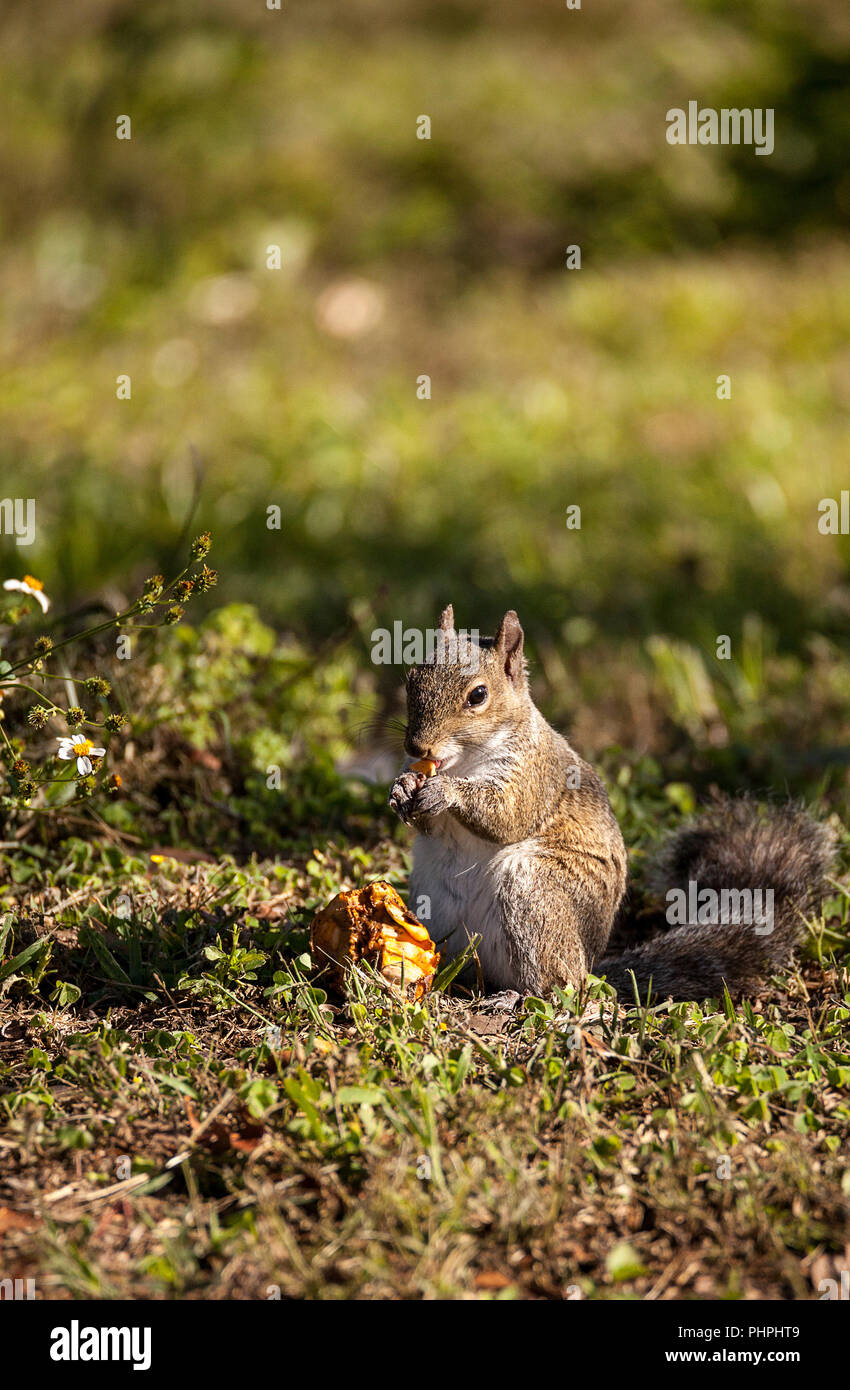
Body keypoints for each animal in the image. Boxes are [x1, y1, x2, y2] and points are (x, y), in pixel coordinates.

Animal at [388, 608, 838, 1000]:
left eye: (478, 695)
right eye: (410, 679)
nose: (417, 747)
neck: (463, 760)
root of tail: (591, 966)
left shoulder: (535, 773)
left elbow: (507, 815)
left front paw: (446, 793)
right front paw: (403, 788)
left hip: (534, 892)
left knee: (559, 984)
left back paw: (515, 997)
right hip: (435, 908)